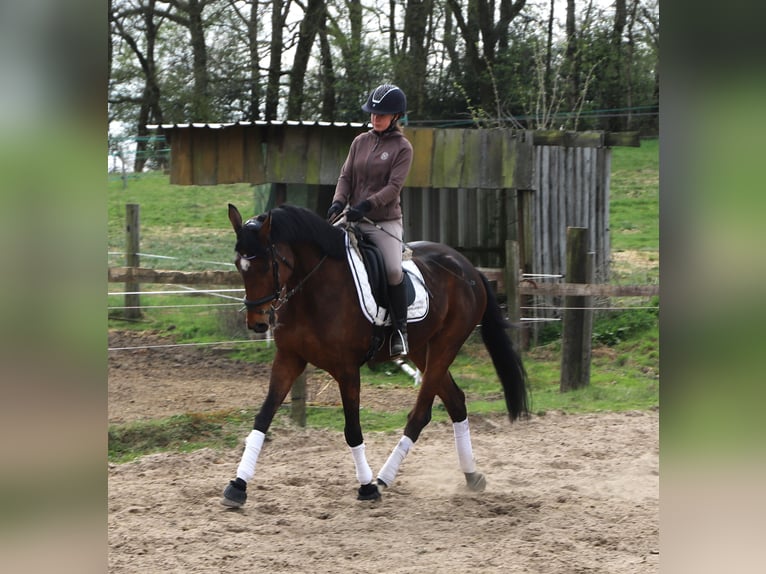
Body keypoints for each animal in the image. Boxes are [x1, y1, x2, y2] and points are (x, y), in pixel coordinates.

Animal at [222, 203, 529, 507]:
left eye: (266, 265)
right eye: (239, 265)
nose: (257, 323)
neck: (313, 290)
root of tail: (469, 268)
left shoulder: (346, 369)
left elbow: (352, 429)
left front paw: (367, 487)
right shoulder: (289, 359)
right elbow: (263, 418)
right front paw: (237, 486)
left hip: (446, 345)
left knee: (420, 414)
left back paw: (383, 478)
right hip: (422, 350)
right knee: (455, 401)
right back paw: (471, 475)